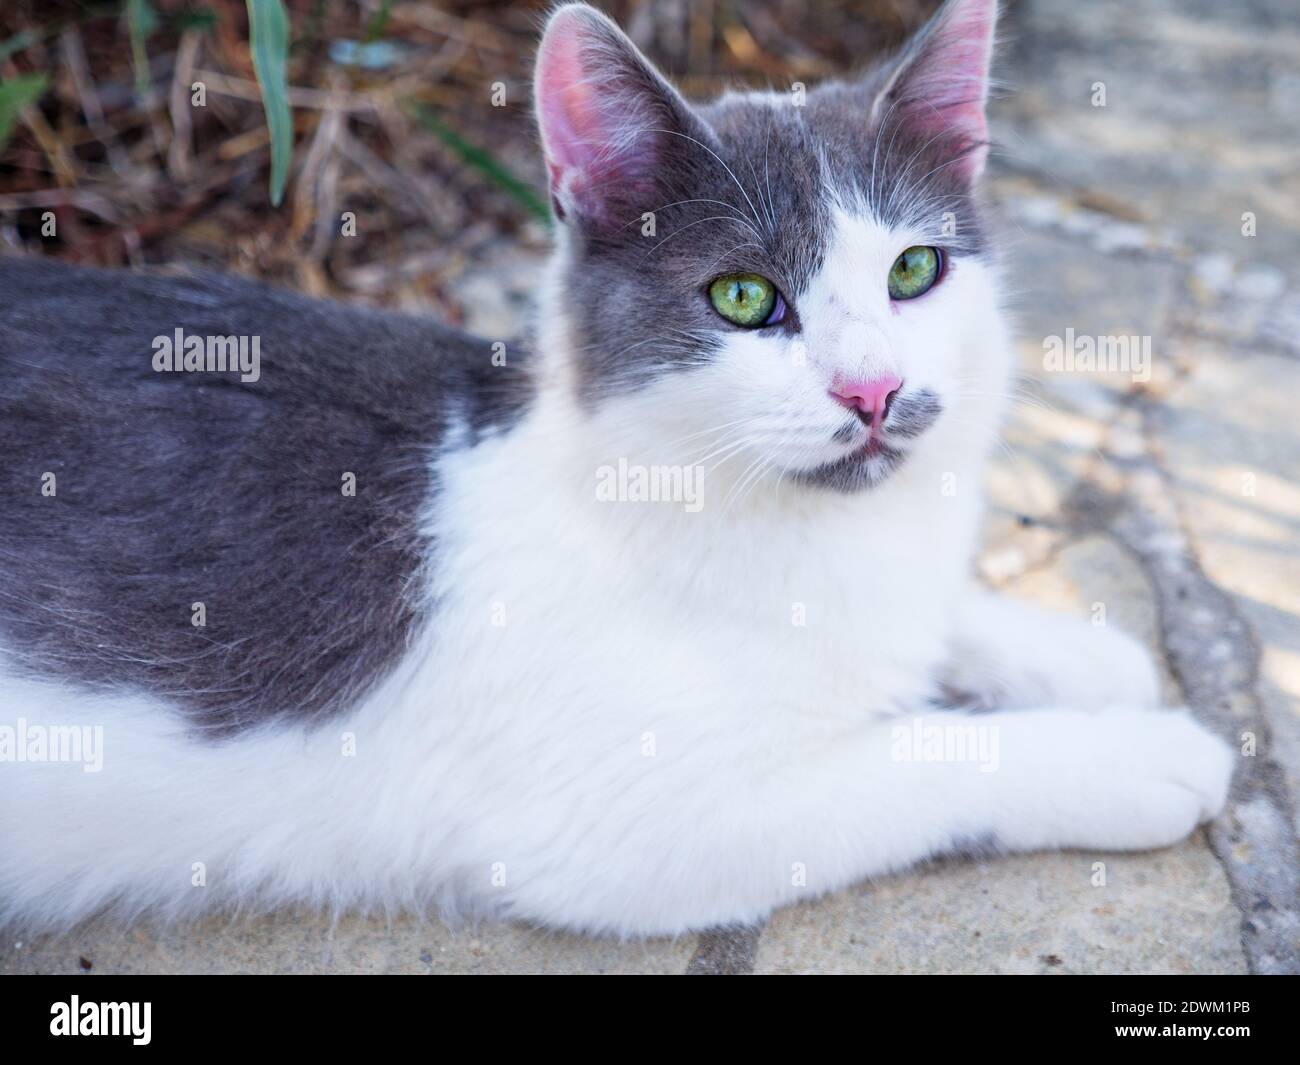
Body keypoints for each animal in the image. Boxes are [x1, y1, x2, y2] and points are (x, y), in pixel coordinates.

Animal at [0, 0, 1227, 936]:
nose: (871, 391)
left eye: (915, 271)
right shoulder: (636, 826)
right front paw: (1138, 753)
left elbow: (933, 627)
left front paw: (1077, 653)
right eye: (744, 296)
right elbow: (921, 753)